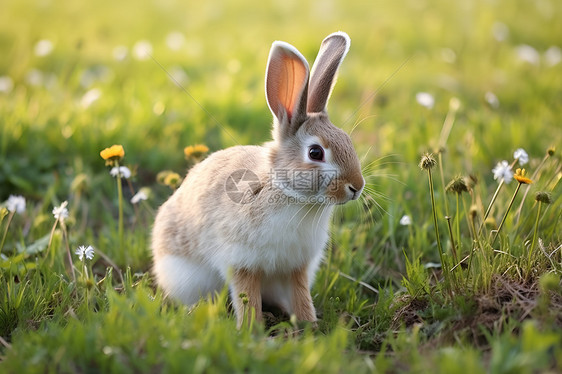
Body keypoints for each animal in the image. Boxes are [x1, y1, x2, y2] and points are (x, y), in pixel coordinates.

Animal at [151, 30, 364, 326]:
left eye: (348, 141)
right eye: (315, 152)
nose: (357, 187)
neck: (289, 195)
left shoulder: (296, 266)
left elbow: (301, 294)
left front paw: (309, 324)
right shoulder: (242, 263)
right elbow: (247, 296)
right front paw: (251, 329)